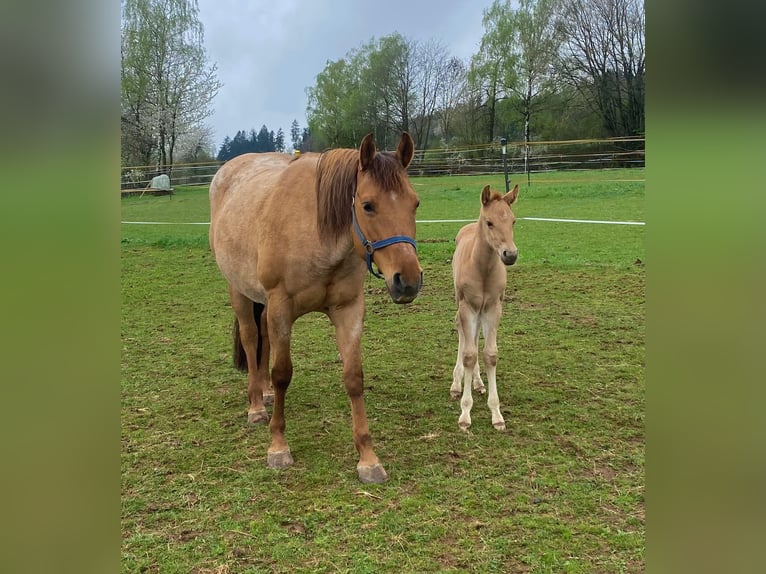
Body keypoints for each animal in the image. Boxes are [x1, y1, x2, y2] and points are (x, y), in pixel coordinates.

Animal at [209, 132, 422, 483]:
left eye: (415, 203)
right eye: (368, 205)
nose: (408, 281)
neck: (317, 232)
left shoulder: (348, 310)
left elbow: (353, 377)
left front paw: (368, 458)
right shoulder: (281, 307)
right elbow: (283, 373)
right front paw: (278, 446)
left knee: (263, 338)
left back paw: (265, 393)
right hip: (238, 291)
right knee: (252, 338)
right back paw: (256, 405)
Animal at [450, 184, 519, 432]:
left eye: (513, 221)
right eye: (489, 222)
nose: (510, 255)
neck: (483, 270)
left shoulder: (493, 308)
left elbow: (490, 354)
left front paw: (497, 414)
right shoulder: (468, 306)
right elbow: (469, 354)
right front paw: (465, 414)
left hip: (481, 312)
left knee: (475, 334)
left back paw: (478, 382)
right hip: (462, 304)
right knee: (462, 333)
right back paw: (457, 383)